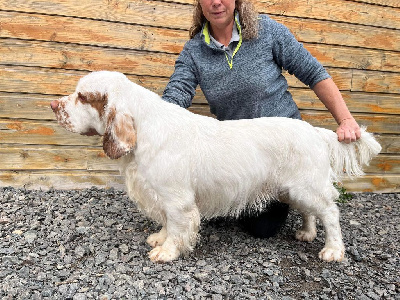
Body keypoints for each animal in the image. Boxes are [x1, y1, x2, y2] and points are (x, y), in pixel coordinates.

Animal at [50, 71, 382, 262]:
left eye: (83, 96)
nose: (53, 106)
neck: (145, 130)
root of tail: (314, 131)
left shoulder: (177, 199)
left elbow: (177, 228)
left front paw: (166, 252)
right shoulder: (162, 195)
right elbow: (167, 223)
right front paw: (159, 237)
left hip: (307, 187)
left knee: (330, 213)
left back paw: (333, 250)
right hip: (292, 189)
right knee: (310, 212)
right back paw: (307, 233)